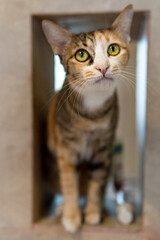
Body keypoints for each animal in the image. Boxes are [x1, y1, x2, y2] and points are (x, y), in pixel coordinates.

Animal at [42, 4, 133, 233]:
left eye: (113, 49)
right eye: (81, 55)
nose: (103, 67)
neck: (91, 117)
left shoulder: (104, 147)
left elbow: (97, 182)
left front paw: (92, 213)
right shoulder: (65, 147)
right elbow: (69, 183)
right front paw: (72, 217)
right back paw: (62, 208)